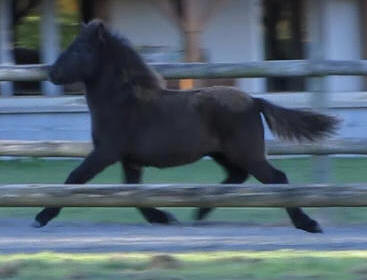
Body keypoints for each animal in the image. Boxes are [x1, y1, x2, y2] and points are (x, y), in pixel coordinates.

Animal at [33, 20, 340, 234]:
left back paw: (308, 224)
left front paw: (41, 217)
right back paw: (200, 211)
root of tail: (254, 101)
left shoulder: (106, 152)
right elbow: (134, 193)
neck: (123, 101)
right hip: (224, 154)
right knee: (237, 177)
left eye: (80, 48)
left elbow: (75, 178)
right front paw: (164, 217)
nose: (52, 73)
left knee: (277, 179)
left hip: (246, 153)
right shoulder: (130, 160)